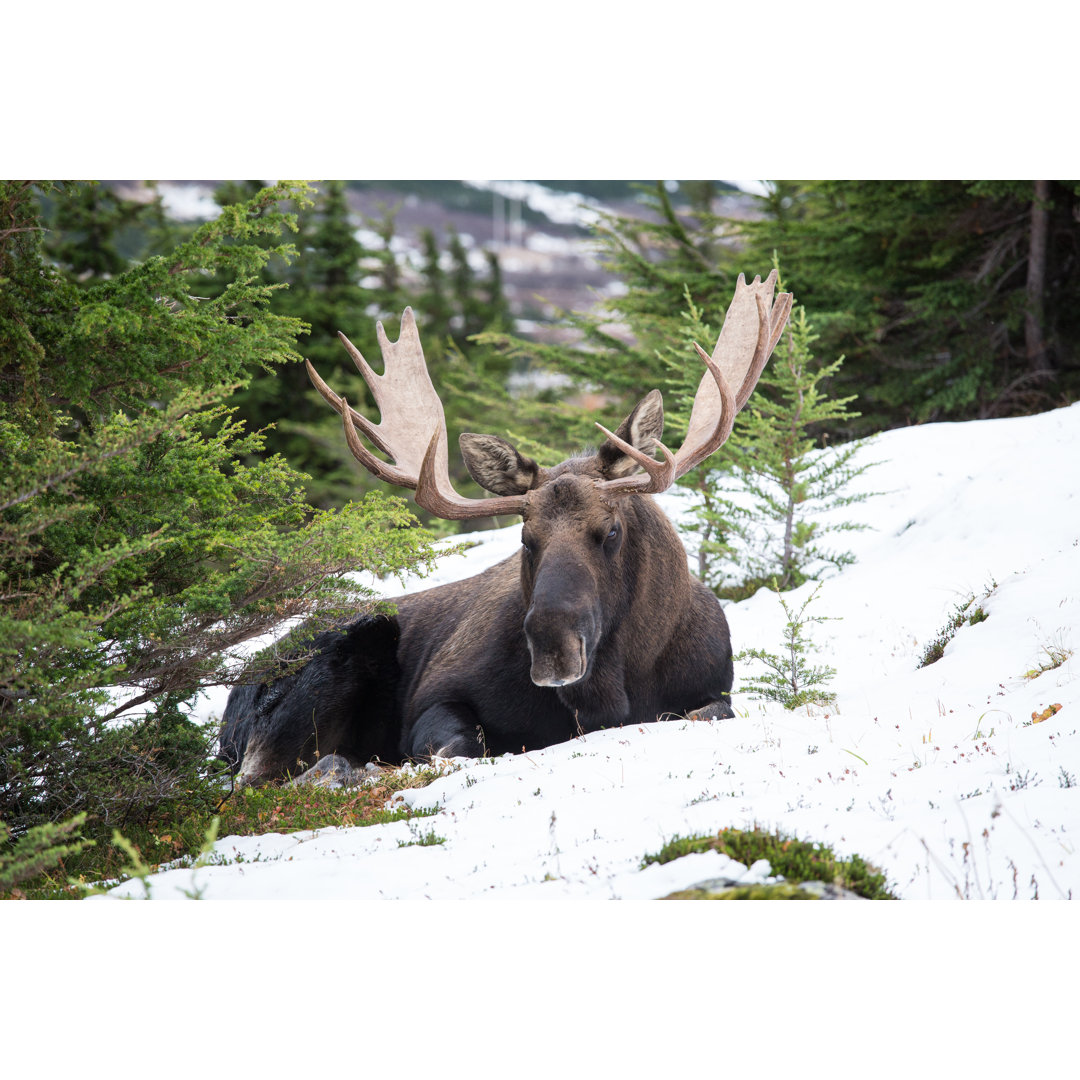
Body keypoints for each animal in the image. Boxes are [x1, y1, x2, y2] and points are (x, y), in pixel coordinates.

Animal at [219, 270, 794, 786]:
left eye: (611, 531)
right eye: (525, 538)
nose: (552, 645)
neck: (614, 691)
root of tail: (231, 700)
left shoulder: (715, 690)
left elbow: (707, 711)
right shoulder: (436, 697)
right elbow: (460, 745)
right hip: (332, 658)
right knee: (257, 778)